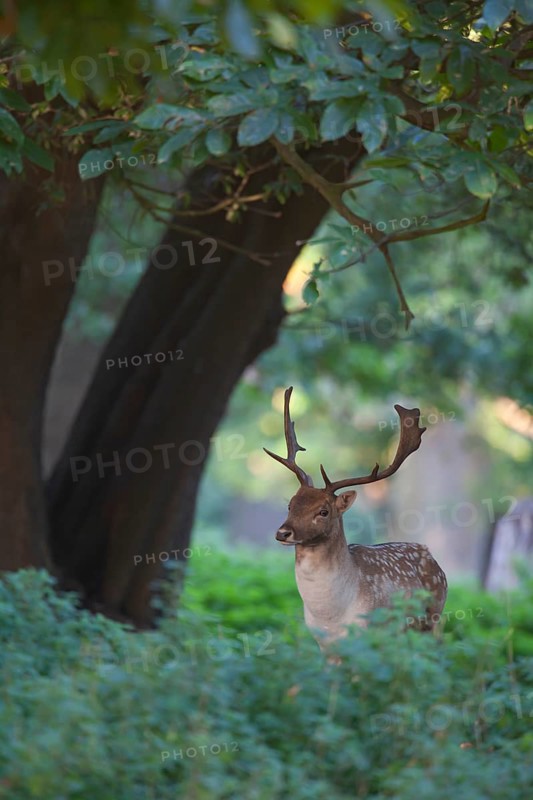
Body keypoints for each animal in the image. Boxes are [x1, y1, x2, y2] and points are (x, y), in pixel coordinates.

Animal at [264, 387, 447, 646]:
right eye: (290, 505)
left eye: (323, 511)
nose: (283, 533)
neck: (331, 616)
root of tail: (431, 555)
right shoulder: (322, 642)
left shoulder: (367, 633)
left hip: (433, 616)